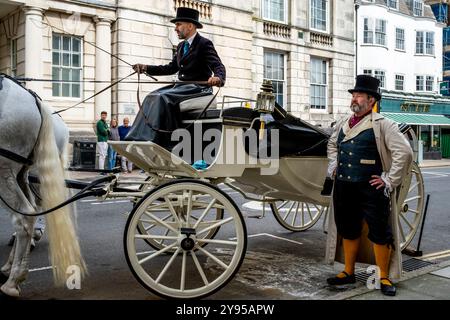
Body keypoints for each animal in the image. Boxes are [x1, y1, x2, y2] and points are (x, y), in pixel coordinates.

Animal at [0, 75, 86, 298]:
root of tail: (34, 100)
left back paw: (13, 281)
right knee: (30, 210)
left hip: (4, 170)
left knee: (24, 216)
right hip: (21, 173)